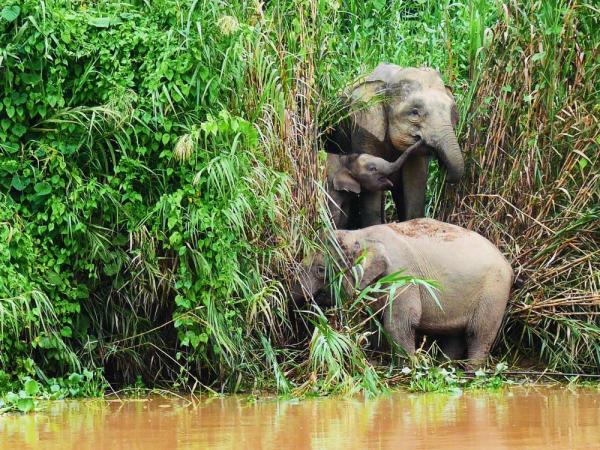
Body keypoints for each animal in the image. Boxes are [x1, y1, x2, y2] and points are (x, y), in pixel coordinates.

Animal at [292, 218, 512, 366]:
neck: (361, 235)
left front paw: (408, 369)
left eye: (321, 270)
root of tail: (508, 264)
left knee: (479, 333)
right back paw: (443, 367)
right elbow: (374, 322)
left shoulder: (402, 277)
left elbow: (400, 324)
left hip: (494, 292)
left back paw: (470, 373)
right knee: (455, 336)